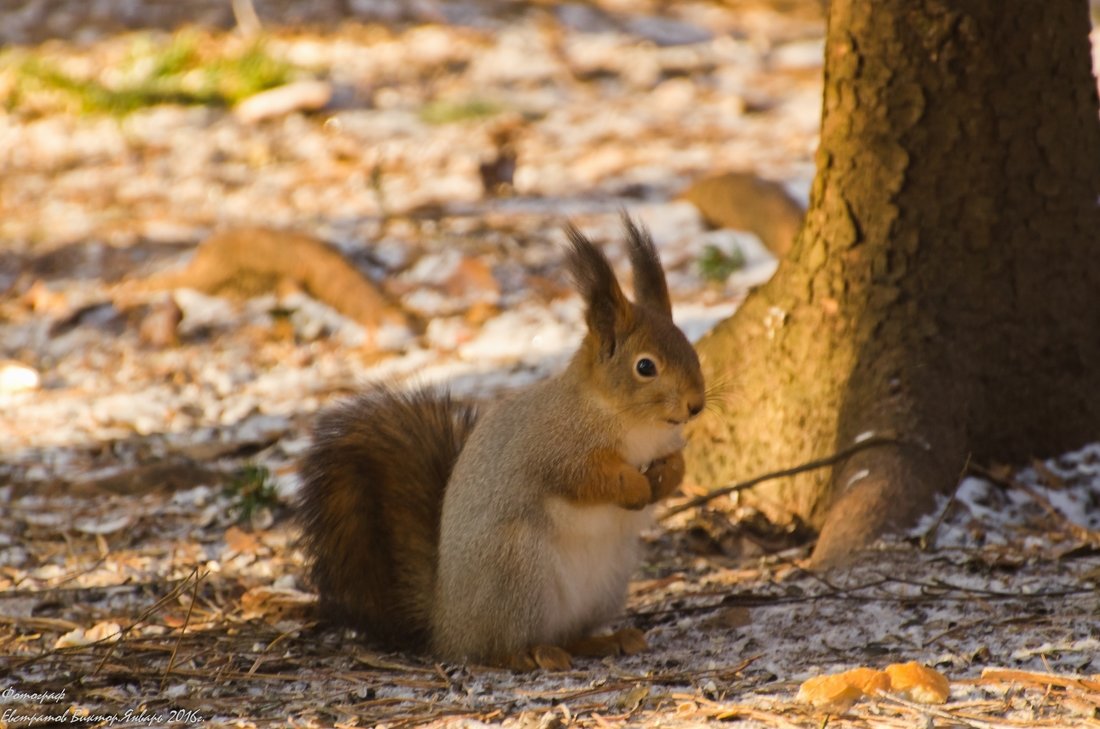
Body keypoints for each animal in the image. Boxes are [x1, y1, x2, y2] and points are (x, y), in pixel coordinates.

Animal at [297, 214, 704, 668]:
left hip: (605, 582)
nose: (696, 406)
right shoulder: (554, 448)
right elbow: (585, 478)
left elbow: (678, 464)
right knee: (492, 649)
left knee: (568, 635)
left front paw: (664, 479)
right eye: (645, 367)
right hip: (516, 570)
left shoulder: (663, 443)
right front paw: (634, 487)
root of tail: (446, 624)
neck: (633, 422)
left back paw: (604, 640)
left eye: (691, 348)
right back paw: (527, 655)